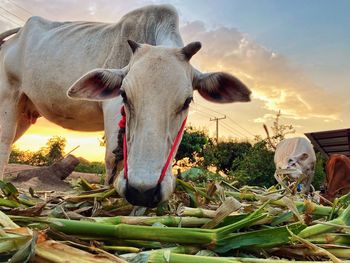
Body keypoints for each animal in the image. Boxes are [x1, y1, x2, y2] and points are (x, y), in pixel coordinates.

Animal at [0, 3, 252, 206]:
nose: (143, 192)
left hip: (25, 113)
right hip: (8, 99)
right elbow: (113, 159)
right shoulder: (112, 112)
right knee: (4, 146)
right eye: (124, 95)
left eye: (187, 101)